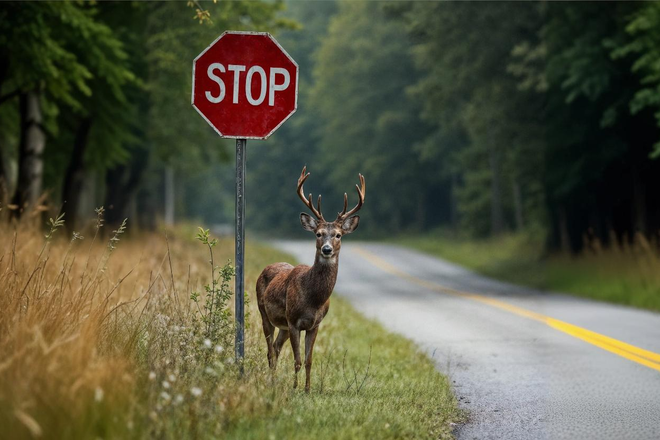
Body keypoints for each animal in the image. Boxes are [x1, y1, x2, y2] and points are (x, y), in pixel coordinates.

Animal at [255, 165, 366, 392]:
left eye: (338, 235)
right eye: (318, 233)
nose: (327, 249)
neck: (313, 298)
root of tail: (267, 267)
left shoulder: (315, 324)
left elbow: (308, 360)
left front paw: (306, 389)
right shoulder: (294, 321)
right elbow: (297, 360)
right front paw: (295, 388)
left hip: (283, 324)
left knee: (276, 348)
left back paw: (274, 380)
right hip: (264, 312)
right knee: (270, 350)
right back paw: (271, 382)